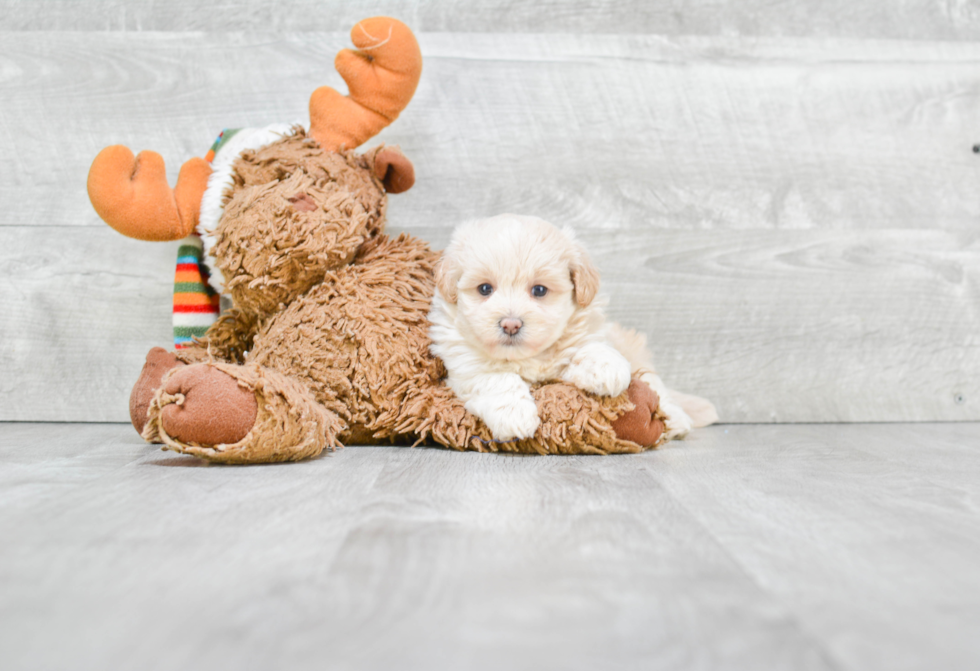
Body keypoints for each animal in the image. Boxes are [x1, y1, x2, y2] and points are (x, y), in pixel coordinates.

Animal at [424, 215, 716, 444]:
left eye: (539, 290)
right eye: (485, 289)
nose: (511, 323)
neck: (528, 357)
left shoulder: (586, 334)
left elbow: (588, 347)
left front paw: (606, 367)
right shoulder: (465, 364)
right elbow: (496, 378)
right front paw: (515, 415)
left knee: (658, 388)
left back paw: (677, 420)